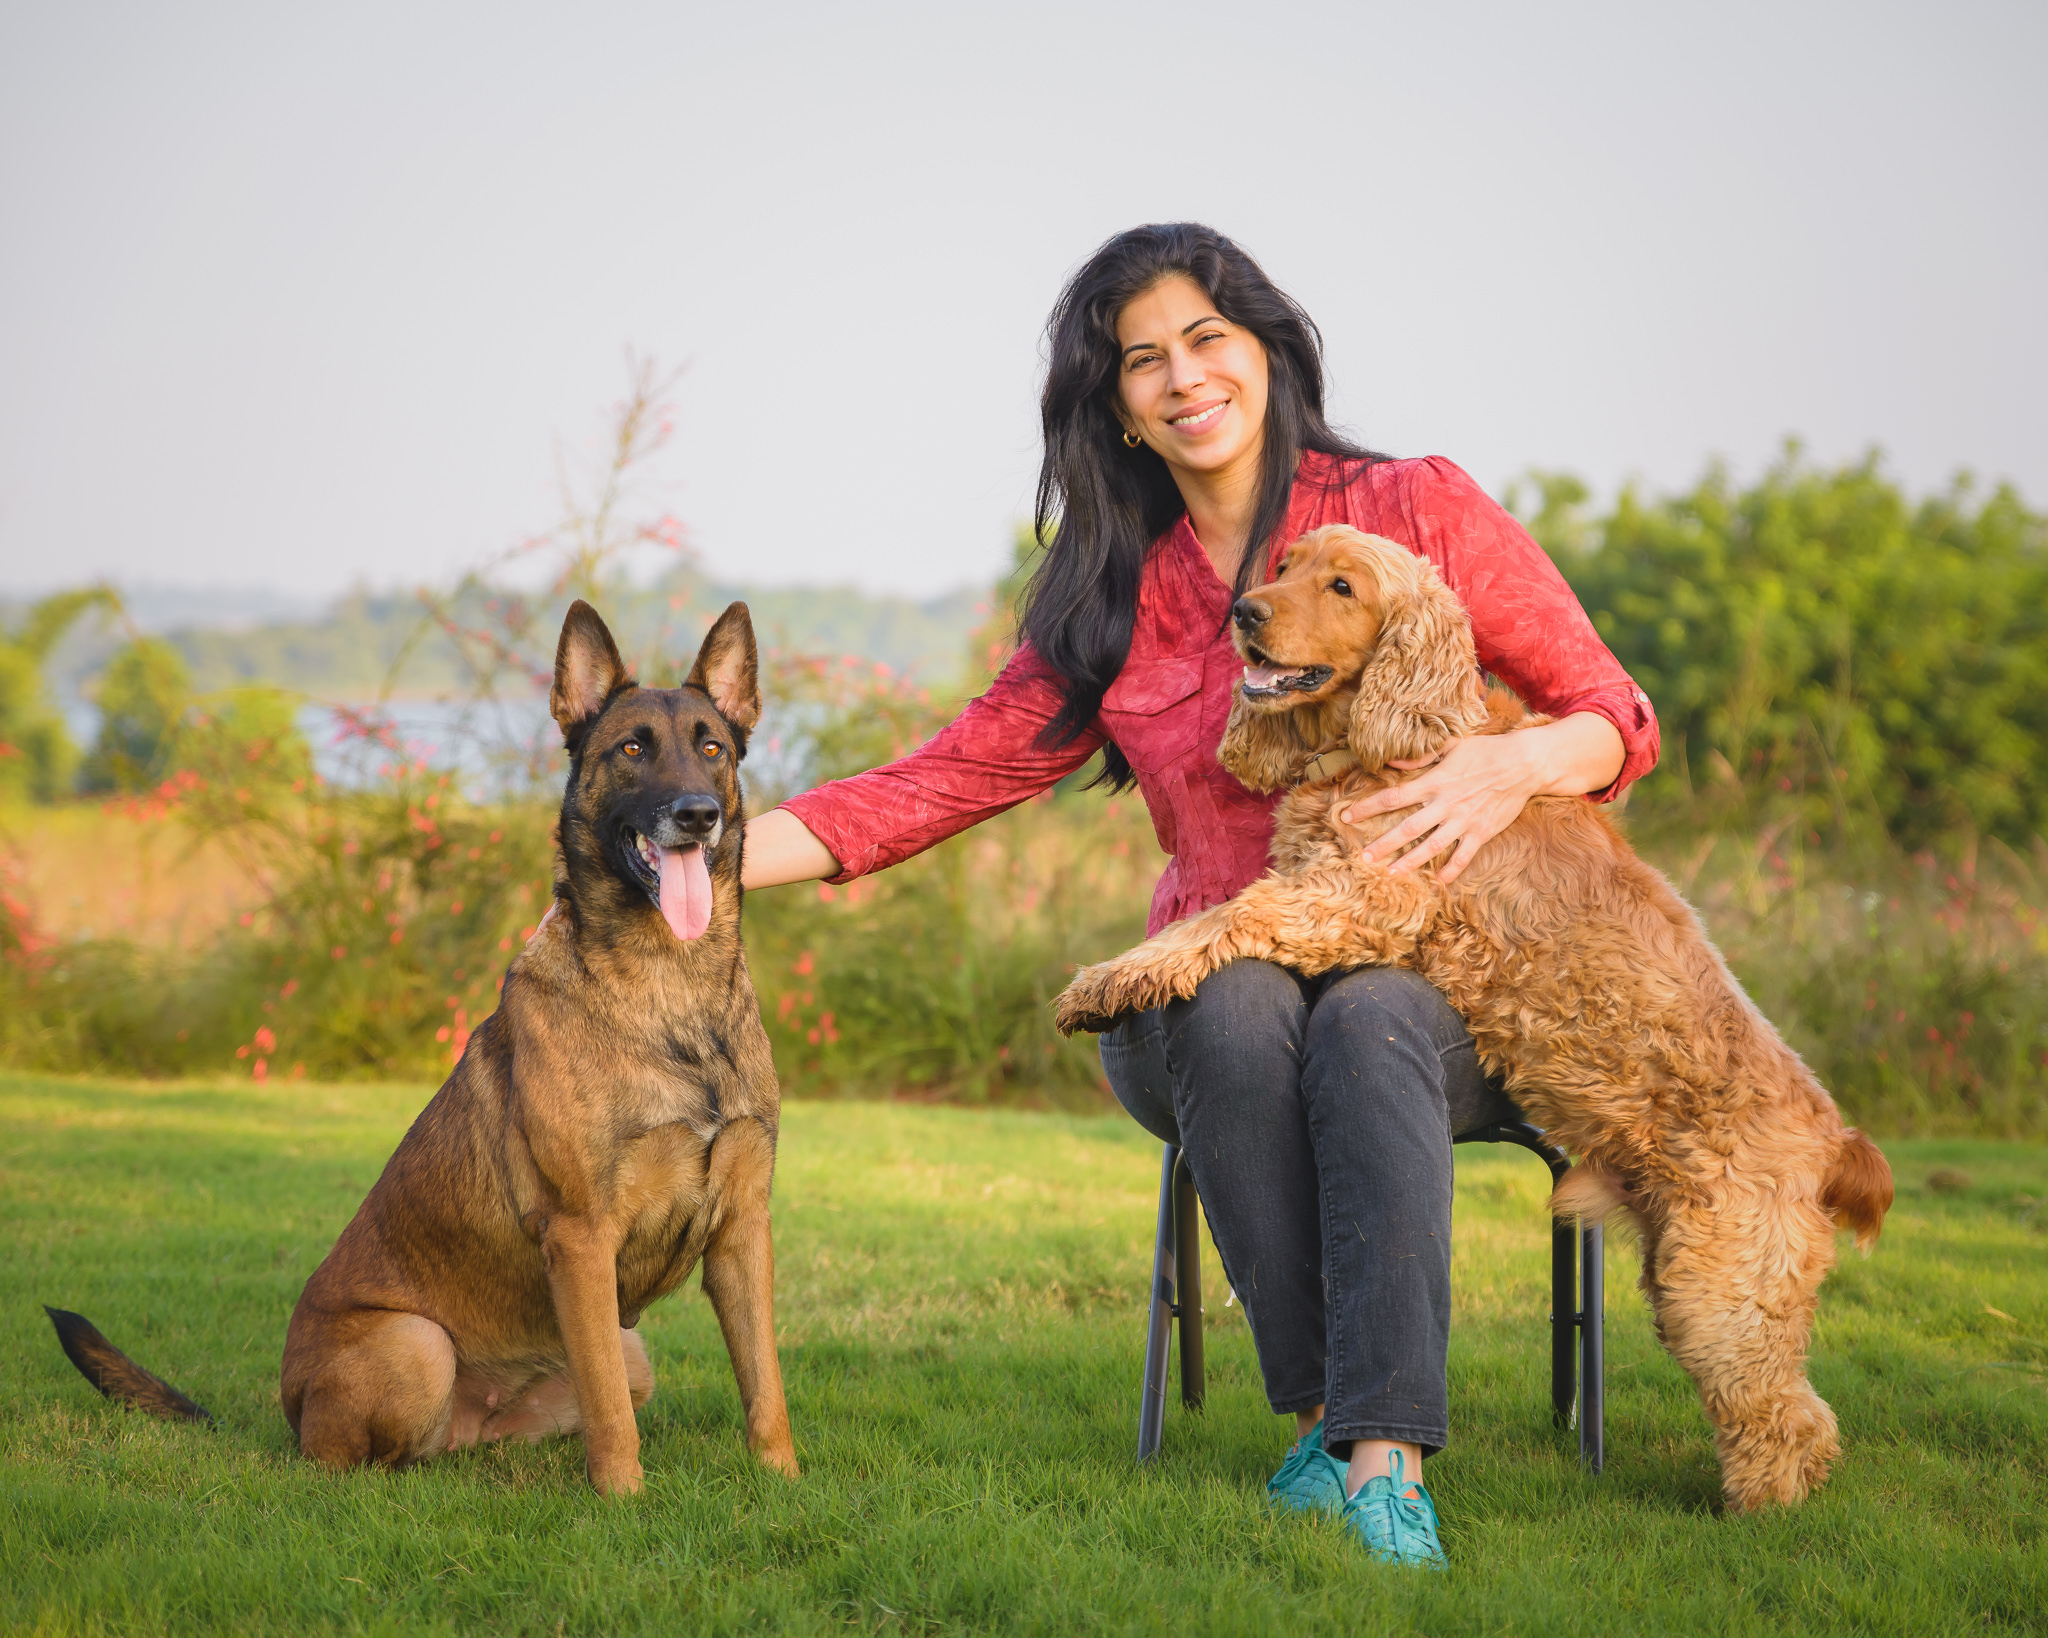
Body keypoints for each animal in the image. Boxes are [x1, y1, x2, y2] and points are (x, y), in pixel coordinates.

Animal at [49, 601, 790, 1498]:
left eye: (711, 748)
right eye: (632, 749)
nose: (695, 814)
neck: (672, 993)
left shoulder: (742, 1232)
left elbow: (764, 1386)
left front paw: (784, 1484)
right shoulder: (581, 1238)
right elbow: (614, 1418)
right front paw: (624, 1501)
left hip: (622, 1348)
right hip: (417, 1344)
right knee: (339, 1461)